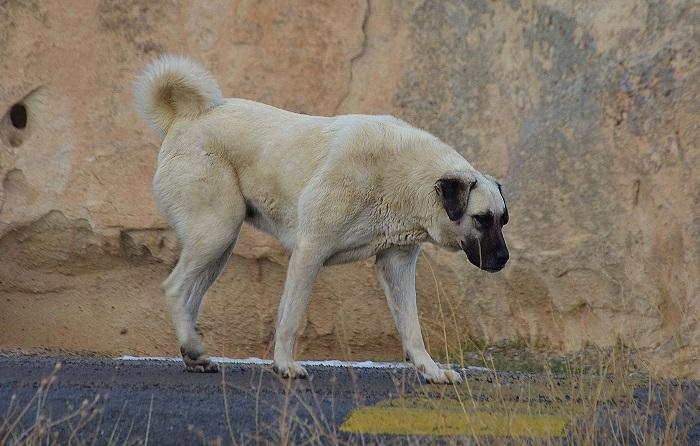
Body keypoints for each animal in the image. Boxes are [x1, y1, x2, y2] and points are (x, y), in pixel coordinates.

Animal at [134, 55, 512, 384]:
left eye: (503, 220)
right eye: (481, 219)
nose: (504, 260)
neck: (404, 175)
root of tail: (185, 118)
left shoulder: (396, 264)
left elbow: (412, 327)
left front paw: (431, 371)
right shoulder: (309, 251)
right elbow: (291, 317)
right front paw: (285, 365)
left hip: (219, 247)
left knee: (190, 296)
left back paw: (193, 354)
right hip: (216, 233)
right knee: (174, 288)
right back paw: (193, 347)